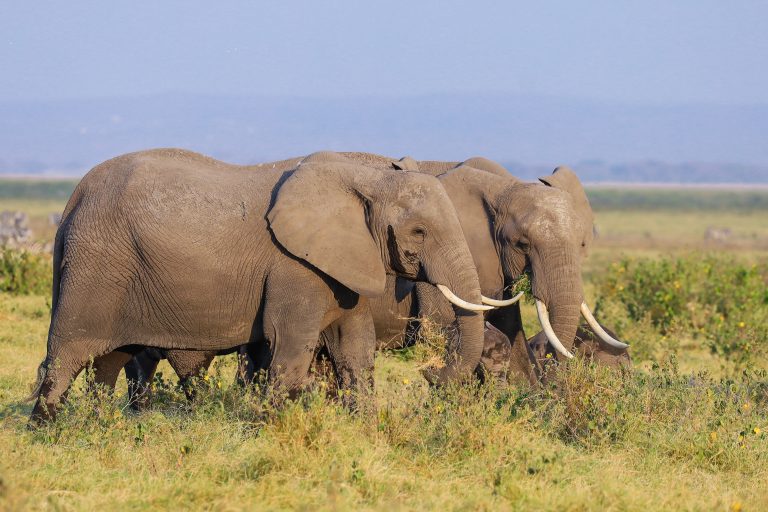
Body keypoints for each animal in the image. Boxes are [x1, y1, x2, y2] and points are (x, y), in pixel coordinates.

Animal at [27, 149, 492, 424]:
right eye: (419, 232)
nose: (430, 372)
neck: (367, 178)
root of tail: (72, 201)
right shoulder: (295, 267)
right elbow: (291, 346)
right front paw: (270, 427)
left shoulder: (347, 262)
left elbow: (355, 349)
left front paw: (364, 427)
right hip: (96, 268)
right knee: (67, 356)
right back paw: (47, 430)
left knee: (108, 360)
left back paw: (98, 424)